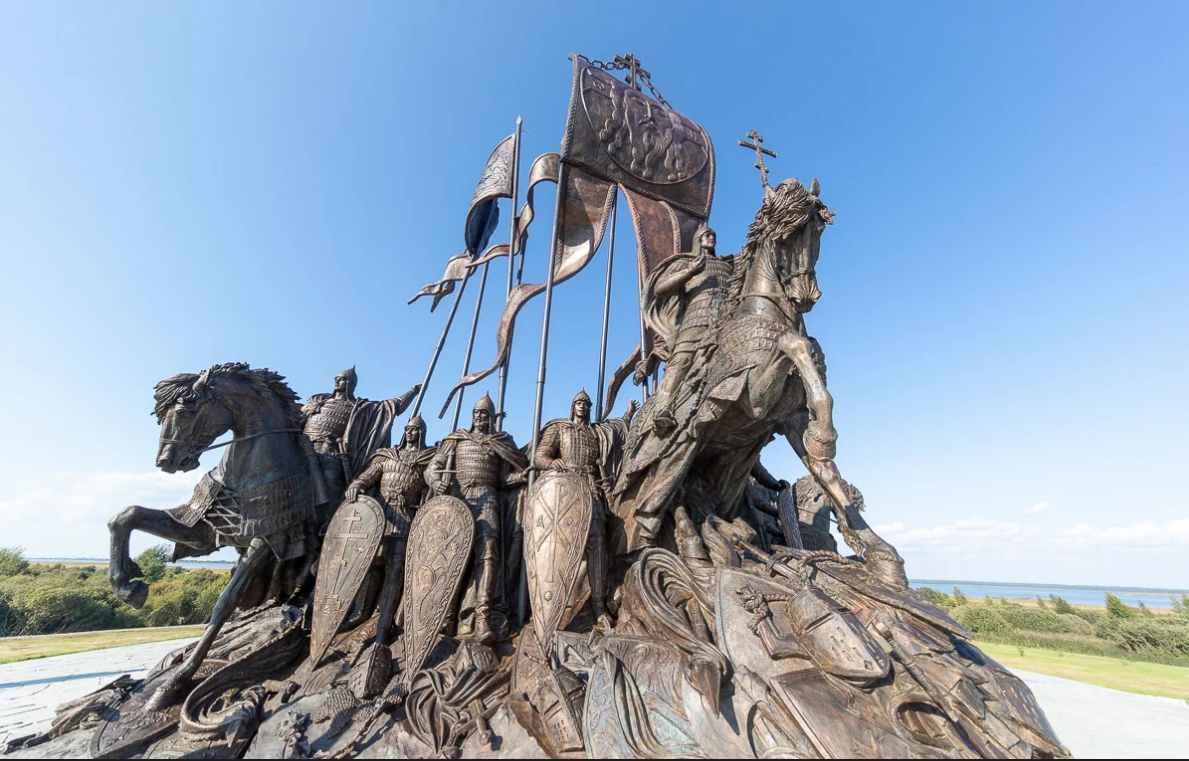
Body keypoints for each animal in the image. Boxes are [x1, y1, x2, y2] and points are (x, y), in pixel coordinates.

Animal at [107, 361, 318, 708]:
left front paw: (174, 684)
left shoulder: (267, 540)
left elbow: (225, 602)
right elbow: (126, 516)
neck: (250, 471)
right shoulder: (203, 530)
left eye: (186, 408)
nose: (165, 461)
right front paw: (127, 587)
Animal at [618, 177, 903, 582]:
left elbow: (827, 473)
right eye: (787, 233)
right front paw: (826, 437)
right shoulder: (752, 395)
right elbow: (793, 343)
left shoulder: (790, 417)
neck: (765, 311)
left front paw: (882, 555)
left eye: (818, 231)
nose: (806, 295)